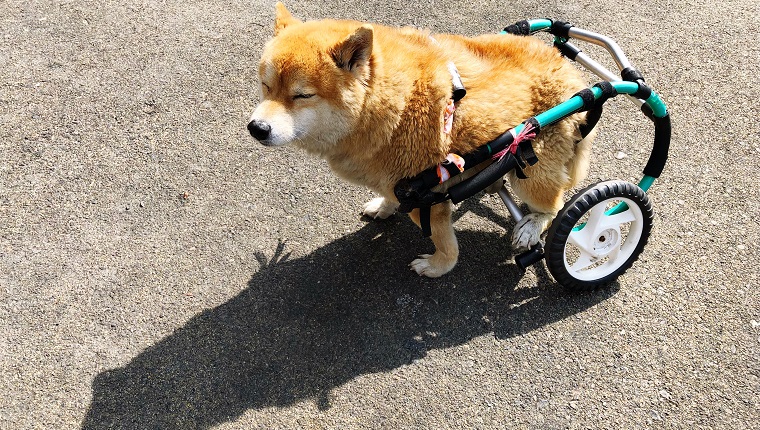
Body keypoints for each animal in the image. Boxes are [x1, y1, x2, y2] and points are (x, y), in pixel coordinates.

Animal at [249, 2, 592, 278]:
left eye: (302, 96)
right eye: (266, 86)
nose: (257, 128)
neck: (391, 105)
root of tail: (572, 74)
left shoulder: (429, 199)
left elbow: (446, 244)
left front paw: (438, 267)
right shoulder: (396, 182)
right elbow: (388, 195)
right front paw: (383, 207)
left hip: (530, 171)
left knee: (554, 205)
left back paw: (532, 226)